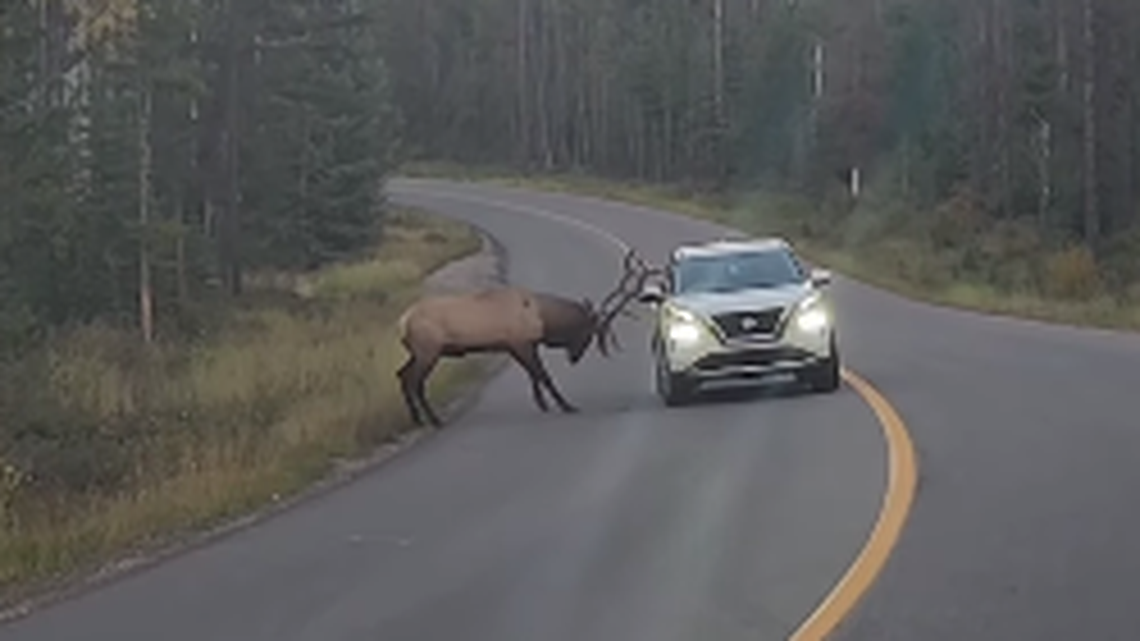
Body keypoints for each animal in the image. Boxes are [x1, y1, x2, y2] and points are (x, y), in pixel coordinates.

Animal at [395, 248, 662, 427]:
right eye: (587, 333)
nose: (574, 358)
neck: (543, 318)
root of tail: (403, 322)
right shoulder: (521, 343)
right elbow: (543, 375)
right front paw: (566, 405)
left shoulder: (517, 345)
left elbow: (533, 375)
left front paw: (542, 404)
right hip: (429, 351)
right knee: (415, 382)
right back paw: (435, 420)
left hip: (418, 352)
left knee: (402, 375)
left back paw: (418, 420)